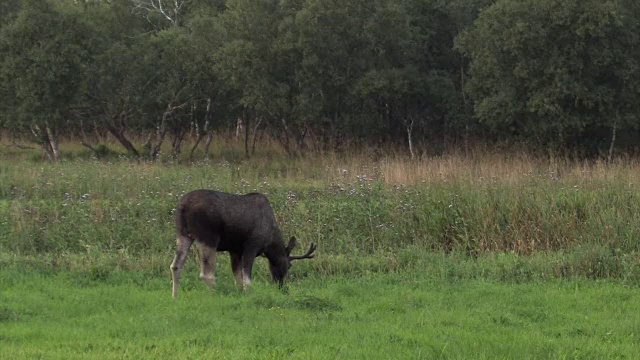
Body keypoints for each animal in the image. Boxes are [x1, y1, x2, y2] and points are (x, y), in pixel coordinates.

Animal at [170, 188, 316, 298]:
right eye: (289, 265)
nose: (284, 288)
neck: (270, 243)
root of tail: (183, 206)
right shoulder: (251, 246)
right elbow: (247, 278)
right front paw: (249, 294)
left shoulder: (234, 250)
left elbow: (238, 277)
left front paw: (240, 295)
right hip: (209, 237)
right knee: (207, 273)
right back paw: (215, 295)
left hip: (183, 234)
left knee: (176, 266)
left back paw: (175, 297)